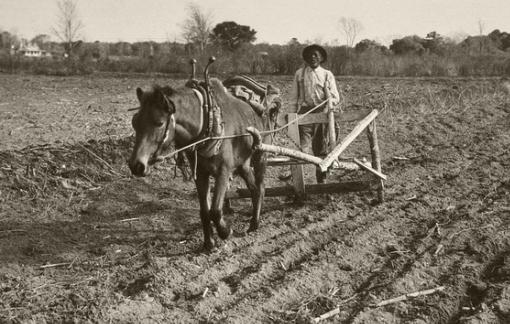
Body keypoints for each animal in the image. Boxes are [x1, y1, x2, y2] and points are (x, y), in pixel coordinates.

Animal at [127, 78, 278, 251]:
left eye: (159, 123)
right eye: (135, 122)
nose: (136, 165)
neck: (208, 122)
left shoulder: (223, 171)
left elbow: (215, 210)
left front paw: (225, 232)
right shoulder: (200, 174)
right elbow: (205, 211)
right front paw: (209, 242)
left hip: (261, 156)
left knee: (261, 187)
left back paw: (255, 223)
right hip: (243, 164)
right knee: (254, 189)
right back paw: (253, 222)